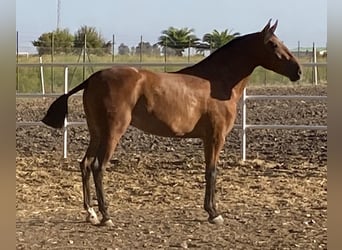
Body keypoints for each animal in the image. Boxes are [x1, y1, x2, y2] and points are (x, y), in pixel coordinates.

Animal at [42, 20, 302, 227]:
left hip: (96, 133)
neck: (217, 81)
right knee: (98, 167)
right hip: (112, 133)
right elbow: (212, 171)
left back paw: (91, 213)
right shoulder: (216, 136)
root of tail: (93, 78)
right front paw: (214, 213)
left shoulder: (208, 138)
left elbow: (209, 171)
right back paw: (106, 216)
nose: (298, 71)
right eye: (273, 44)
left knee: (85, 165)